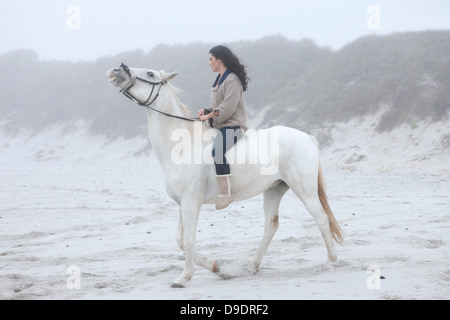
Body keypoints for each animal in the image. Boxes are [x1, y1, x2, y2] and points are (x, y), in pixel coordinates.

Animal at [107, 63, 342, 288]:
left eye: (150, 73)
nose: (116, 70)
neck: (181, 146)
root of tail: (307, 137)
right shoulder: (183, 204)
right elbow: (181, 240)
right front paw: (217, 268)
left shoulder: (191, 203)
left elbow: (189, 241)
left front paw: (184, 277)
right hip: (274, 190)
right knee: (271, 226)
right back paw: (252, 266)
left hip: (304, 189)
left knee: (321, 218)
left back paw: (331, 261)